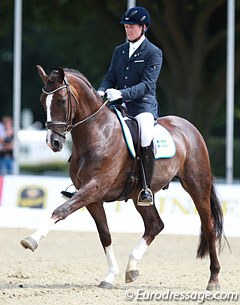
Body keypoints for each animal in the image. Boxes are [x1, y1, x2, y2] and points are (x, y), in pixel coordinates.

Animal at [20, 65, 223, 288]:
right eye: (42, 100)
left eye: (62, 101)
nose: (53, 142)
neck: (97, 133)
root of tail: (189, 128)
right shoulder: (92, 197)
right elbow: (105, 235)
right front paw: (109, 276)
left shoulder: (94, 187)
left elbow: (61, 210)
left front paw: (31, 240)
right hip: (139, 195)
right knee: (155, 225)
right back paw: (132, 268)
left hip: (197, 187)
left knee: (209, 226)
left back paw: (213, 278)